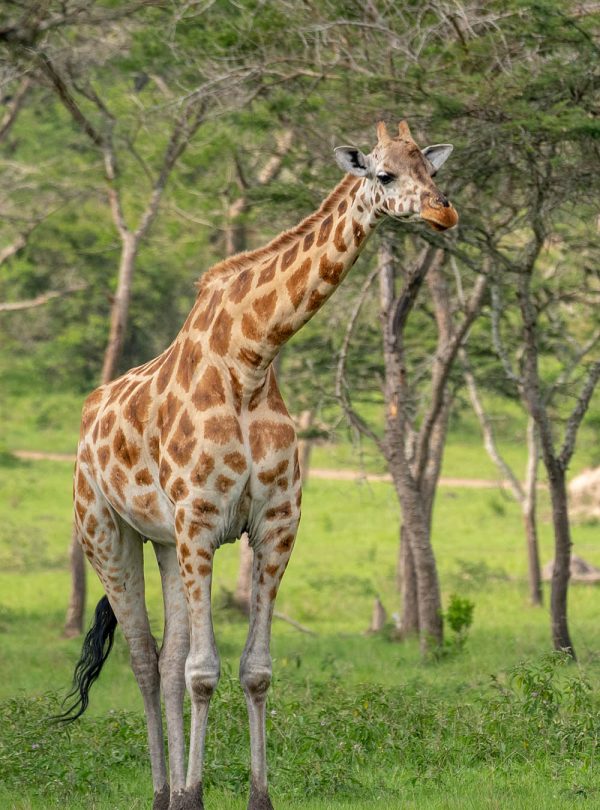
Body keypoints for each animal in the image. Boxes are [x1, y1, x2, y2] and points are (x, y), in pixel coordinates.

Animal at [61, 120, 458, 810]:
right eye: (384, 174)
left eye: (432, 172)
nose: (444, 212)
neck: (250, 359)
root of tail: (88, 420)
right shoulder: (200, 521)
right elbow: (203, 672)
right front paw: (196, 795)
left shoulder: (274, 525)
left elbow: (255, 671)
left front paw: (256, 795)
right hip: (106, 534)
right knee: (142, 658)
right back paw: (165, 791)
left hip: (162, 542)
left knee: (164, 657)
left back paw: (168, 791)